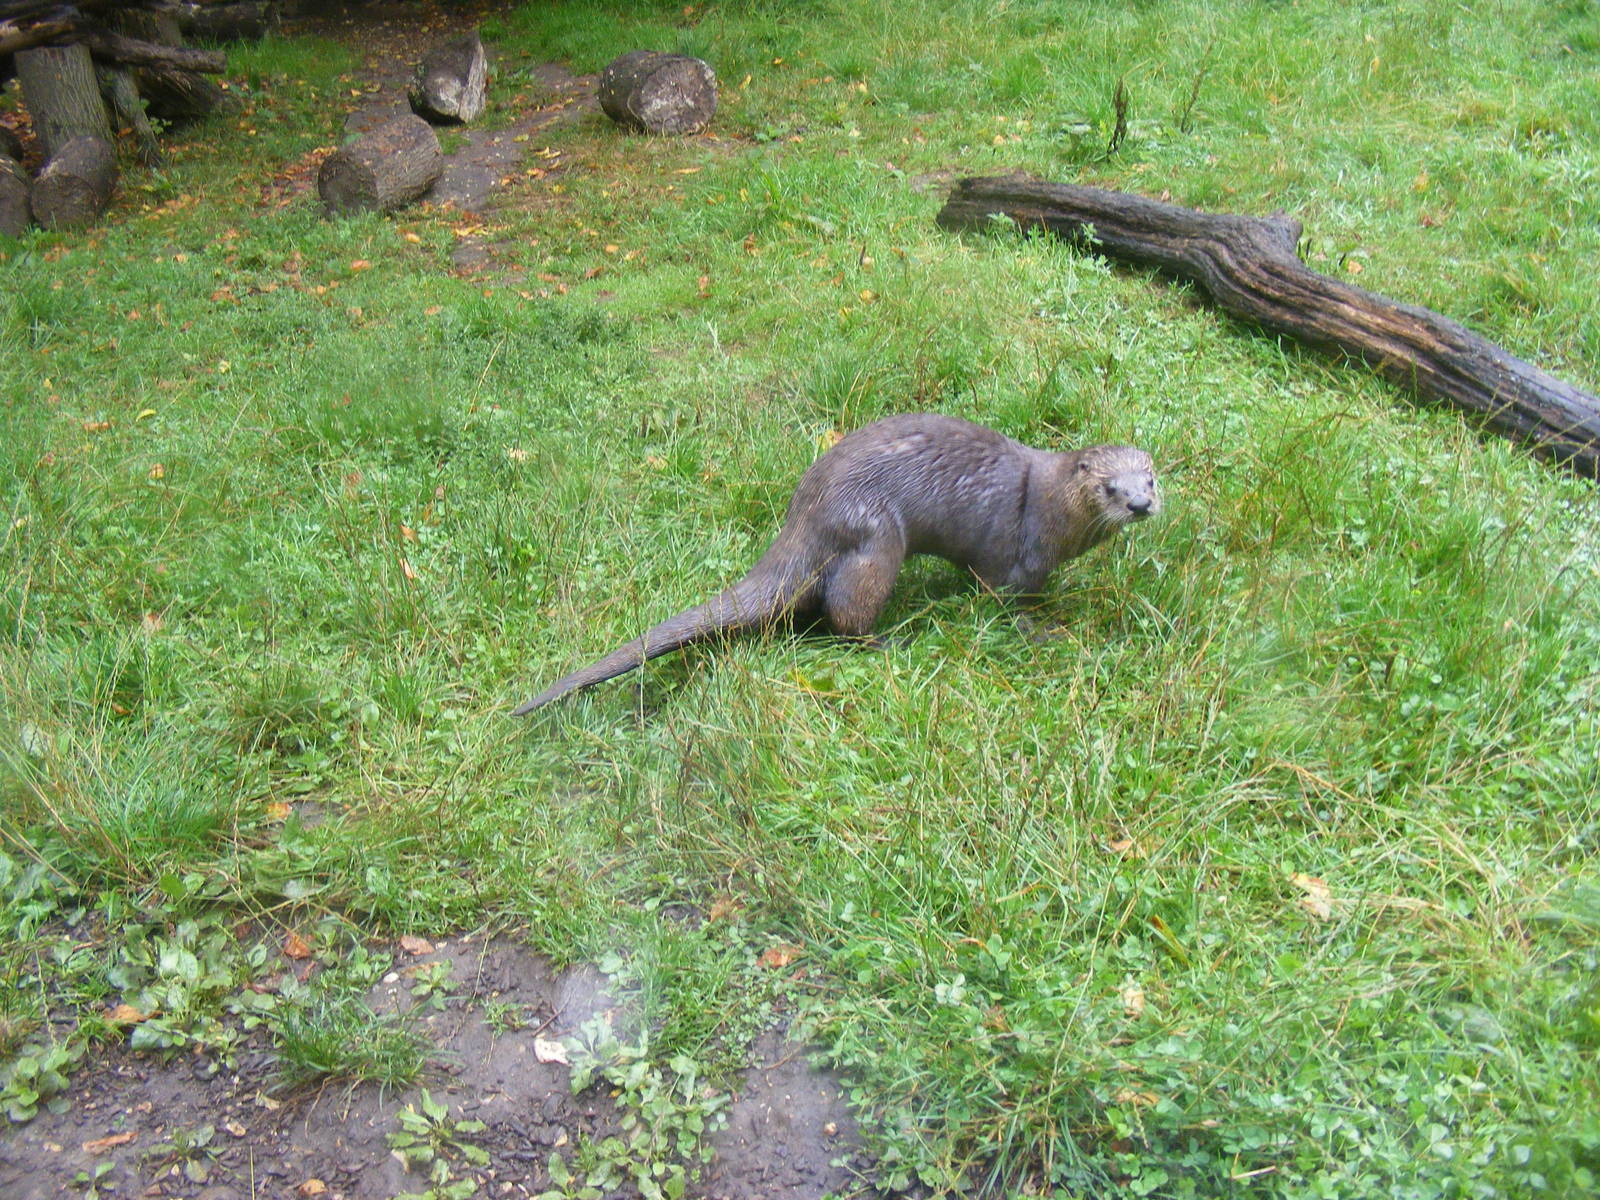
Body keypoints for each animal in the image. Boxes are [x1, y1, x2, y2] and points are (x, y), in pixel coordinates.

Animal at [514, 413, 1159, 714]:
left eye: (1149, 477)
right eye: (1109, 488)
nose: (1141, 504)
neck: (1046, 504)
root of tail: (807, 511)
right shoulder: (1017, 560)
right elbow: (1008, 604)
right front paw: (1045, 632)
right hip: (876, 538)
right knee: (845, 613)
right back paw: (891, 640)